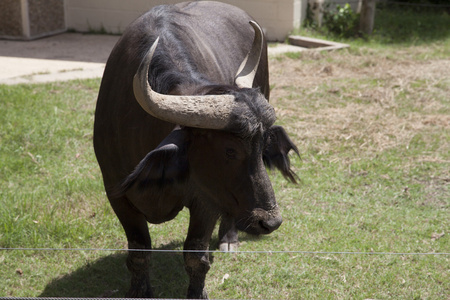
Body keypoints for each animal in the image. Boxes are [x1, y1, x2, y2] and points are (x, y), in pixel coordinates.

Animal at [92, 0, 298, 298]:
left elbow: (195, 257)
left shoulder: (206, 199)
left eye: (262, 143)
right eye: (229, 150)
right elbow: (139, 254)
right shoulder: (116, 194)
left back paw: (228, 239)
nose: (270, 222)